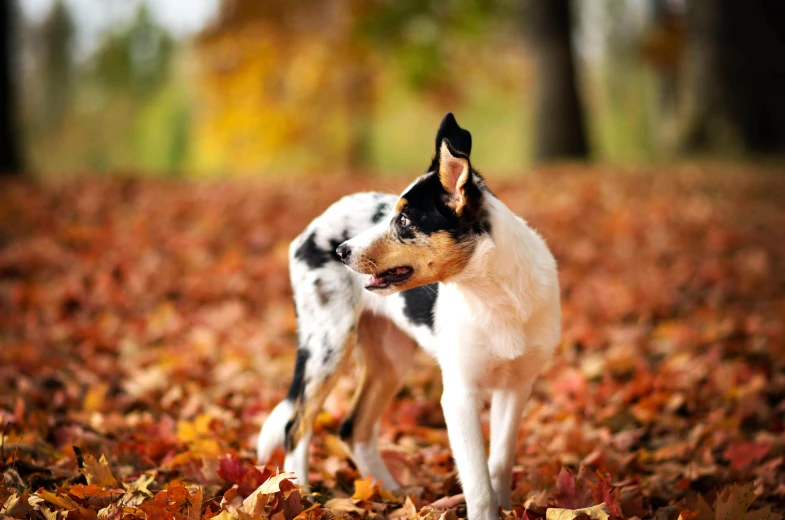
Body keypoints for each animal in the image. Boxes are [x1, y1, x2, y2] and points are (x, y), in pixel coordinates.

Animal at [256, 114, 556, 520]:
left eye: (404, 220)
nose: (341, 251)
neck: (494, 296)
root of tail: (314, 226)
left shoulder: (516, 387)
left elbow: (498, 465)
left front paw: (506, 508)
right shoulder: (459, 394)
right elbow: (478, 485)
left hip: (390, 358)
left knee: (353, 428)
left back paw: (391, 494)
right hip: (328, 345)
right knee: (296, 426)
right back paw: (301, 496)